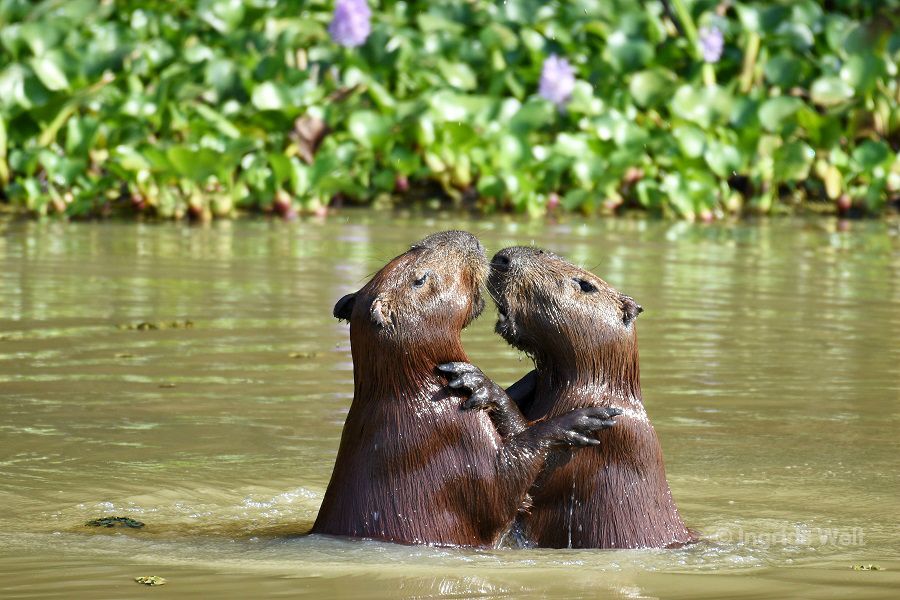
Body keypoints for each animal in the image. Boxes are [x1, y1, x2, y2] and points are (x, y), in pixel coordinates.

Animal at [310, 231, 620, 548]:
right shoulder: (452, 439)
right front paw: (580, 421)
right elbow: (502, 486)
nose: (466, 237)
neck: (414, 392)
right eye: (420, 279)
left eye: (413, 247)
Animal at [486, 244, 688, 548]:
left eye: (585, 285)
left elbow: (532, 481)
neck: (599, 387)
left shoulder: (610, 437)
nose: (503, 258)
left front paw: (483, 386)